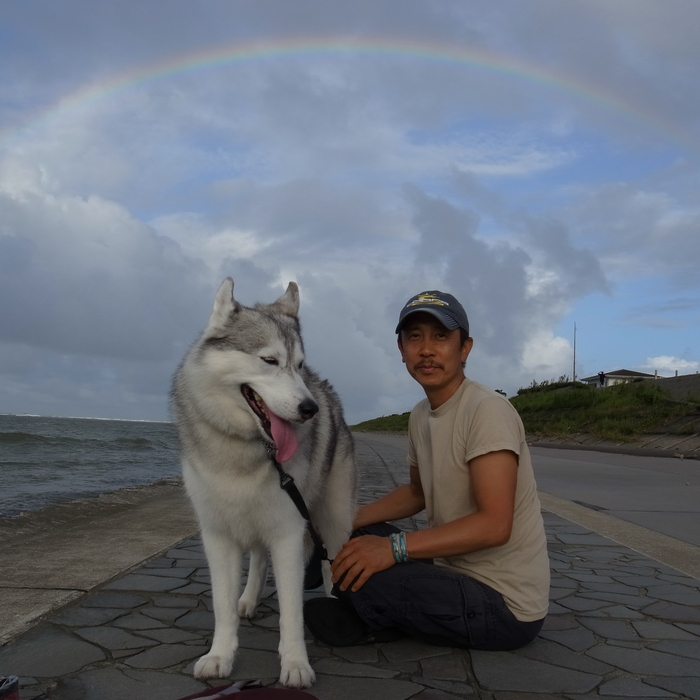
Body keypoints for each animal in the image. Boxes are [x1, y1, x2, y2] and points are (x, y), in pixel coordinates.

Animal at [170, 276, 356, 688]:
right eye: (269, 361)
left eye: (298, 365)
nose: (309, 409)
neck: (245, 450)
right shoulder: (217, 535)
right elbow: (222, 604)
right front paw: (220, 655)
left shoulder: (288, 531)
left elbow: (292, 610)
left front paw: (296, 664)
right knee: (257, 557)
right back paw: (249, 599)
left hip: (331, 517)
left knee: (330, 563)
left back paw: (335, 604)